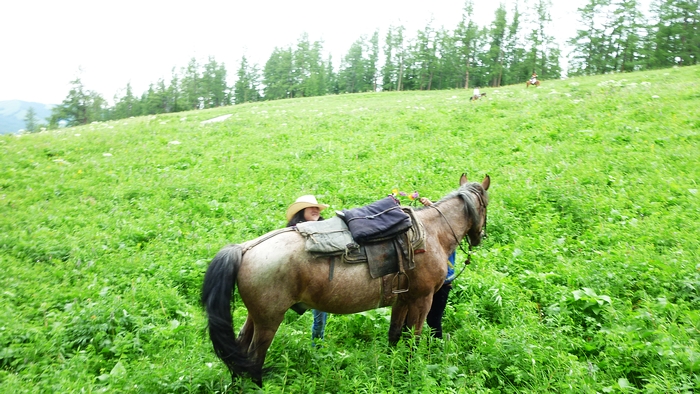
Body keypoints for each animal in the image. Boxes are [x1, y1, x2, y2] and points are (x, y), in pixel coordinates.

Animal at [200, 174, 490, 386]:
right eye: (487, 205)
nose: (479, 237)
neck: (432, 233)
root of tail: (245, 248)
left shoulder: (402, 299)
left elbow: (395, 334)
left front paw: (392, 366)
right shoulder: (422, 300)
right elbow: (413, 339)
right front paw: (410, 370)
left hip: (256, 316)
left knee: (240, 351)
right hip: (269, 321)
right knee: (254, 357)